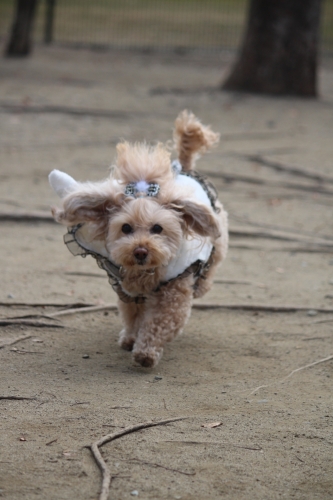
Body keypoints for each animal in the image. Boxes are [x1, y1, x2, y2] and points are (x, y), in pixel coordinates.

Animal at [48, 110, 226, 368]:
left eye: (157, 228)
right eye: (126, 228)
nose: (140, 251)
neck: (145, 273)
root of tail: (184, 169)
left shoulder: (174, 294)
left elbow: (159, 323)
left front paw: (145, 353)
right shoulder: (128, 293)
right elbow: (133, 317)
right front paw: (130, 339)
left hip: (217, 241)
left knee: (212, 264)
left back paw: (202, 283)